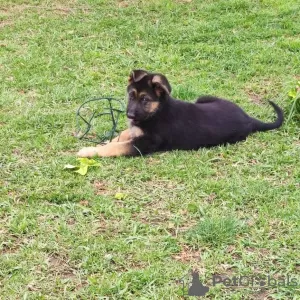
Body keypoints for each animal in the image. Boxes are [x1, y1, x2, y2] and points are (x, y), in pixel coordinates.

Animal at [77, 69, 284, 158]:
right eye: (131, 96)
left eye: (145, 100)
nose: (129, 116)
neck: (157, 111)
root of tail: (249, 119)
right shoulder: (136, 131)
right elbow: (119, 137)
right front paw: (102, 143)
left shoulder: (145, 143)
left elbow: (117, 147)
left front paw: (89, 151)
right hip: (203, 98)